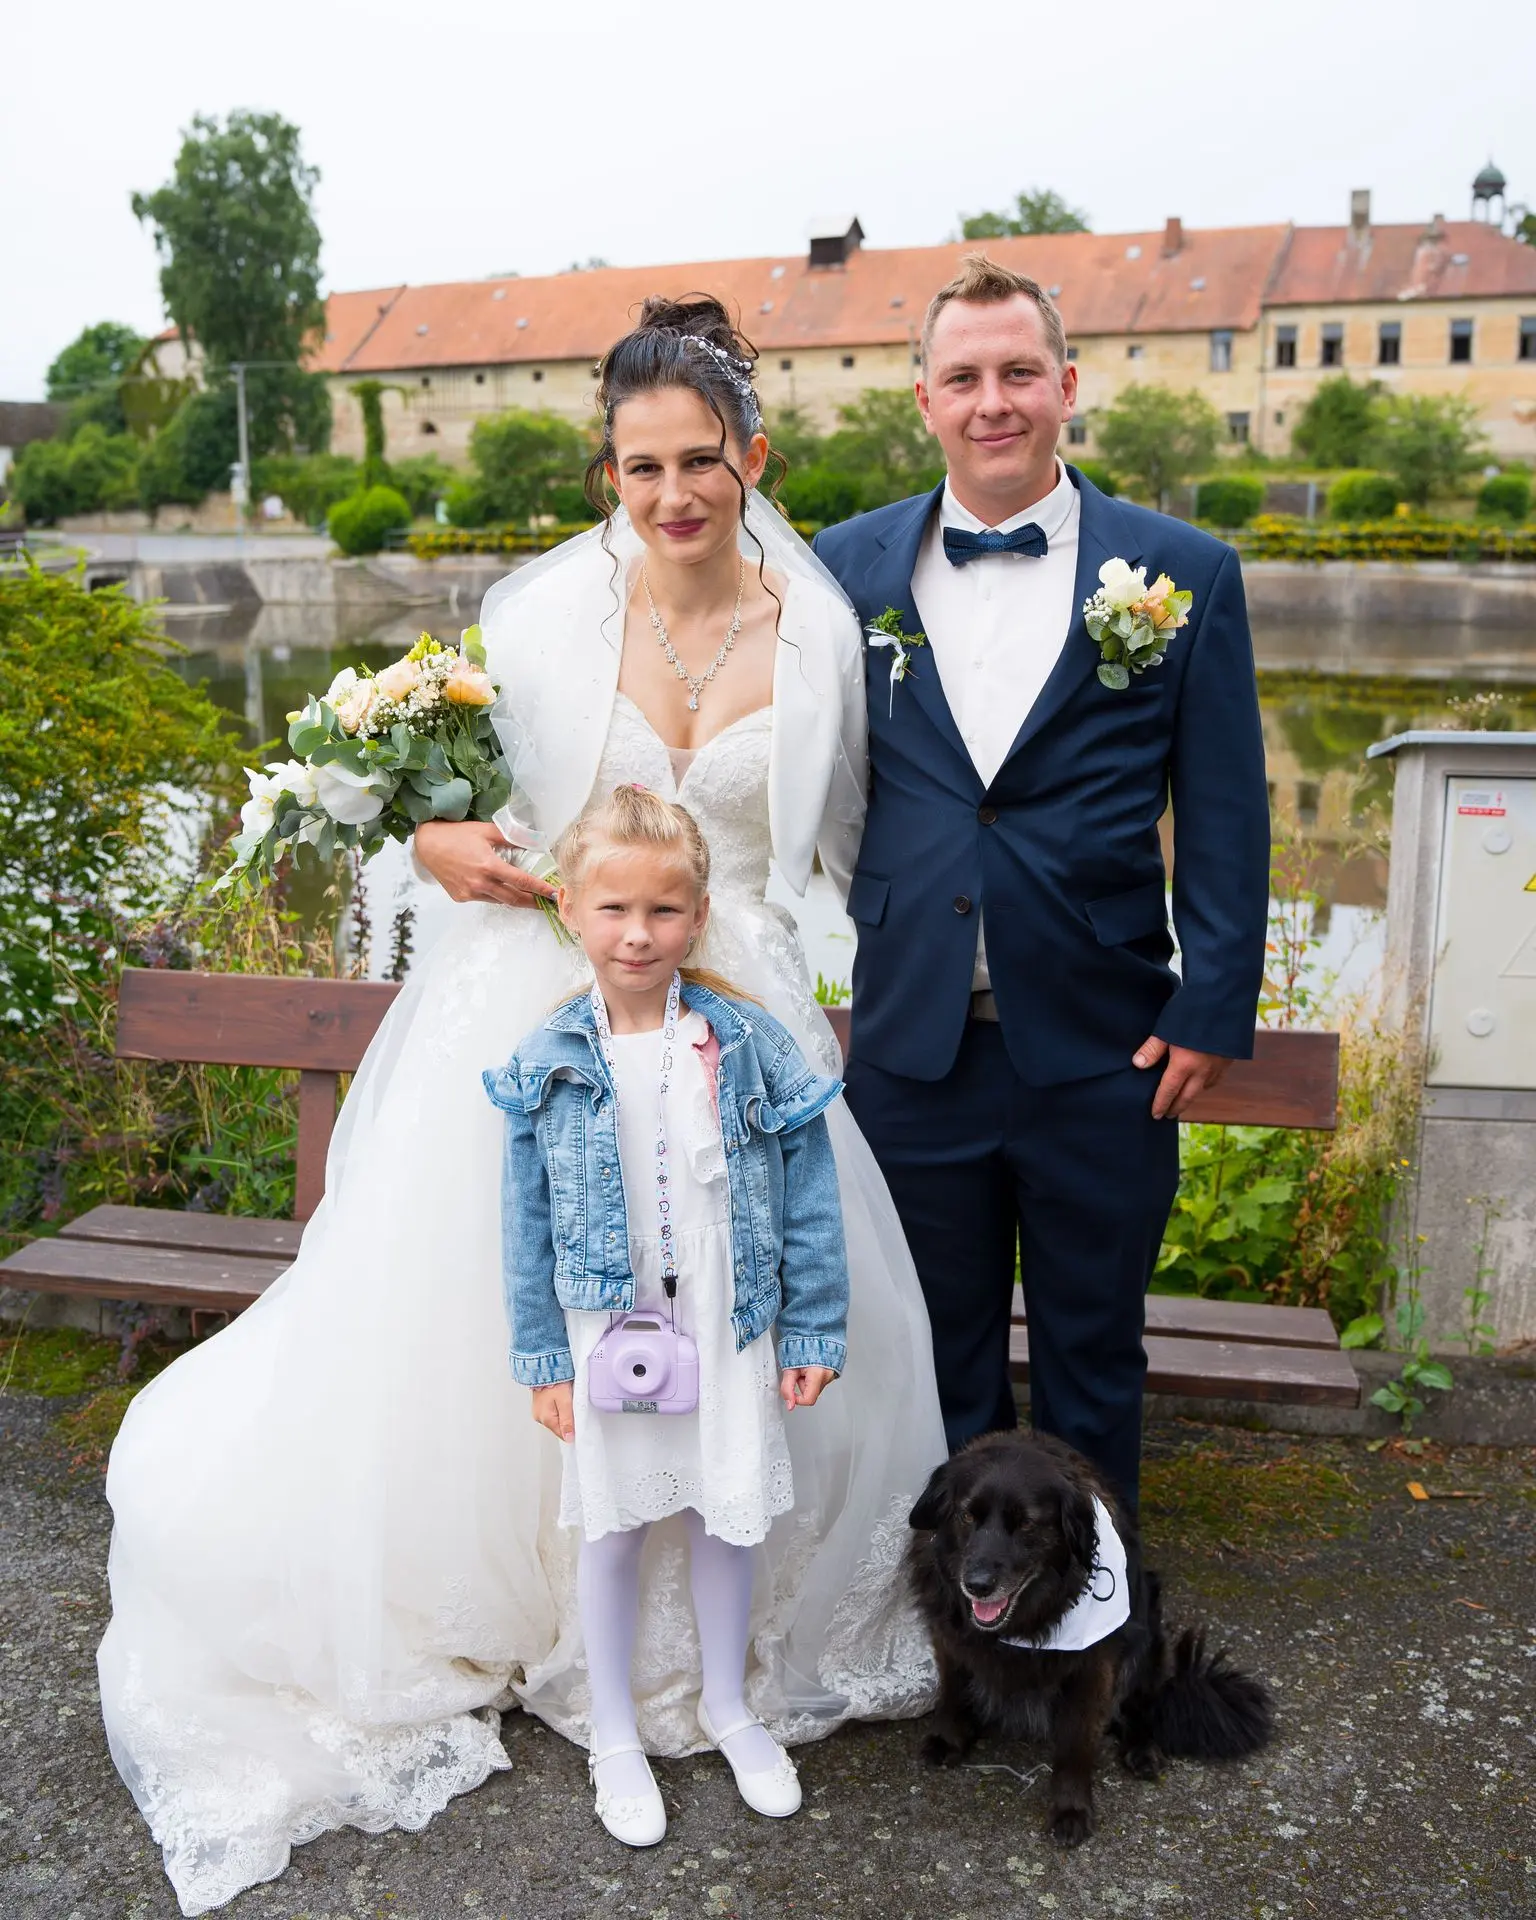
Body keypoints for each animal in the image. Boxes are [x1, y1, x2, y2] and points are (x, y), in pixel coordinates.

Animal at [905, 1430, 1273, 1846]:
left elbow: (1076, 1743)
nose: (977, 1585)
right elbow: (952, 1691)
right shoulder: (950, 1639)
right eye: (967, 1515)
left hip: (1148, 1640)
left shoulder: (1092, 1668)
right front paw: (949, 1738)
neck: (1026, 1622)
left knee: (1140, 1705)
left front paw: (1071, 1809)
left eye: (1027, 1523)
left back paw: (1142, 1748)